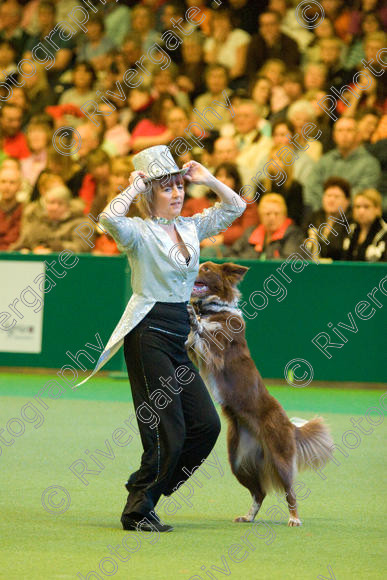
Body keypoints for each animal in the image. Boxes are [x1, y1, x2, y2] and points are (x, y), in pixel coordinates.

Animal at [185, 262, 334, 524]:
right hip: (237, 460)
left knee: (290, 491)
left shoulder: (218, 352)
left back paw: (294, 518)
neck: (215, 309)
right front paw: (192, 317)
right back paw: (248, 516)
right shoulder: (197, 353)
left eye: (206, 268)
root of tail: (290, 425)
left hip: (280, 456)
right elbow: (192, 340)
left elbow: (205, 333)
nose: (190, 264)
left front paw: (195, 317)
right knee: (259, 492)